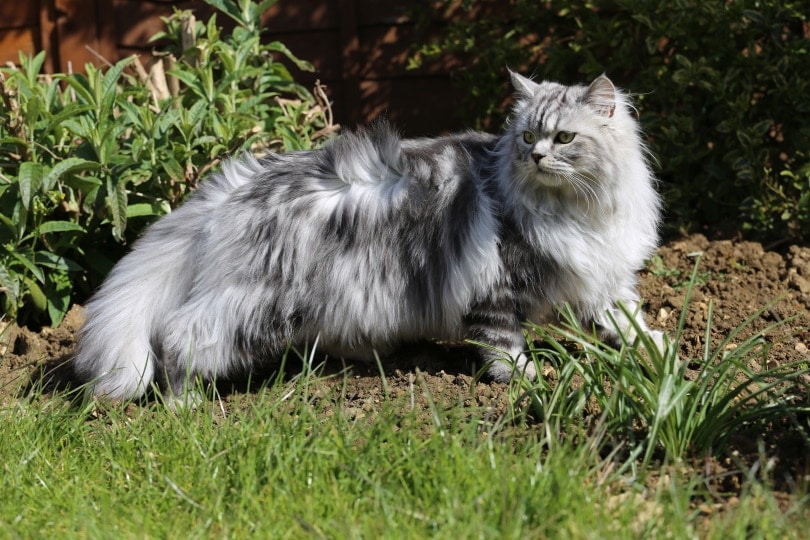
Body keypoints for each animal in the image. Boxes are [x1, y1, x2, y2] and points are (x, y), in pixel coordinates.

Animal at [72, 73, 660, 404]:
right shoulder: (496, 291)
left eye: (564, 137)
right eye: (527, 136)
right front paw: (526, 379)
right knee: (180, 335)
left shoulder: (606, 279)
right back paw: (184, 403)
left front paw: (660, 355)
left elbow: (629, 322)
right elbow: (503, 347)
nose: (535, 156)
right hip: (259, 301)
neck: (577, 210)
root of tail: (236, 184)